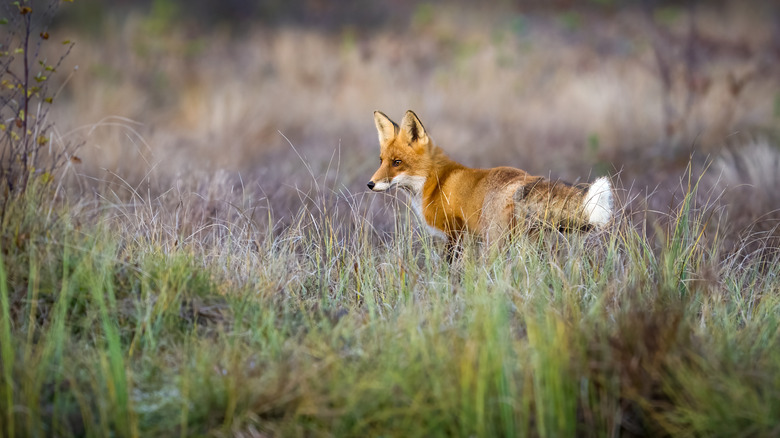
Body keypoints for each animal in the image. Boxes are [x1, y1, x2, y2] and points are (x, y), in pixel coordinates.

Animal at [367, 110, 613, 247]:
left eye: (397, 162)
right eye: (381, 161)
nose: (370, 184)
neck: (436, 183)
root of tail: (526, 178)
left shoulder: (456, 236)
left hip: (494, 242)